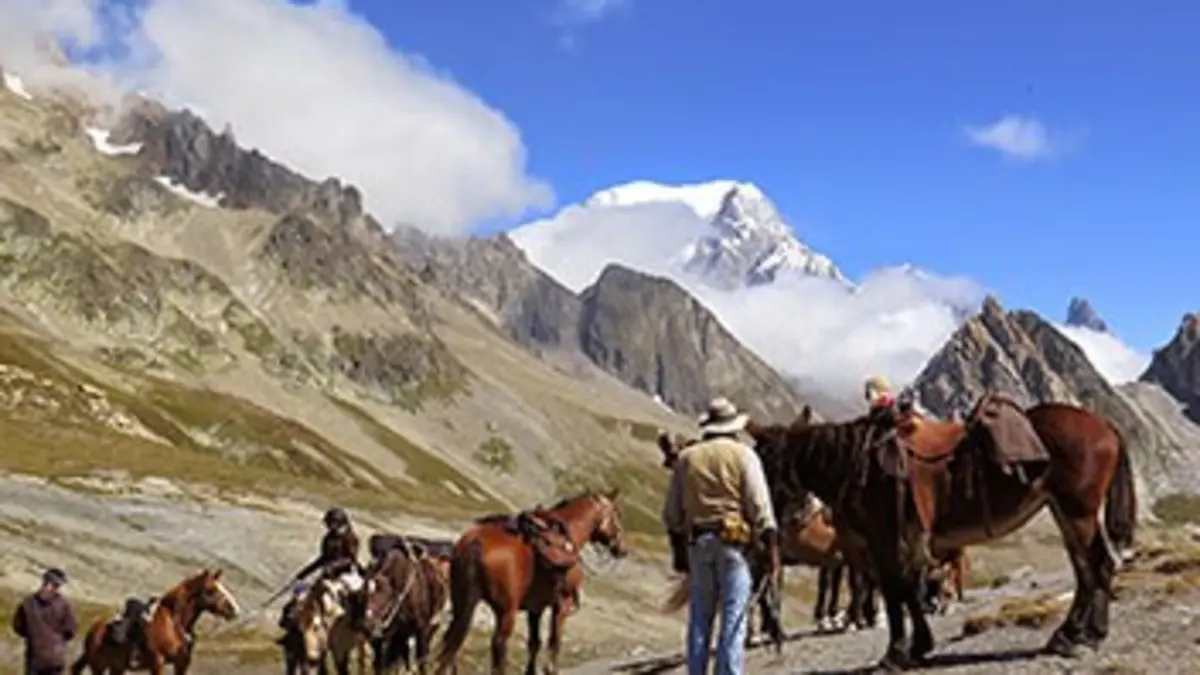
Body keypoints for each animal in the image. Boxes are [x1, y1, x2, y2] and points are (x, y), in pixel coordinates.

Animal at [71, 569, 241, 675]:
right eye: (211, 590)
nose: (235, 610)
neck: (173, 624)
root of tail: (94, 629)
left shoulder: (181, 664)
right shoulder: (157, 662)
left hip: (116, 668)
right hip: (99, 667)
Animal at [433, 489, 627, 675]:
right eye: (616, 514)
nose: (622, 549)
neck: (569, 538)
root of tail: (476, 542)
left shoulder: (535, 609)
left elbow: (534, 643)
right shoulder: (561, 606)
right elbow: (554, 643)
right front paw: (550, 670)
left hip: (462, 603)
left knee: (451, 642)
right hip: (506, 612)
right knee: (498, 644)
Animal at [746, 398, 1137, 671]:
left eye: (767, 466)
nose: (764, 532)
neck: (860, 464)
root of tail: (1105, 426)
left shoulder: (883, 542)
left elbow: (897, 592)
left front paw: (896, 654)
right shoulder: (895, 545)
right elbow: (908, 591)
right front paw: (919, 647)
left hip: (1078, 512)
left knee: (1098, 566)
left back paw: (1087, 636)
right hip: (1064, 512)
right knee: (1086, 570)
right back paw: (1070, 635)